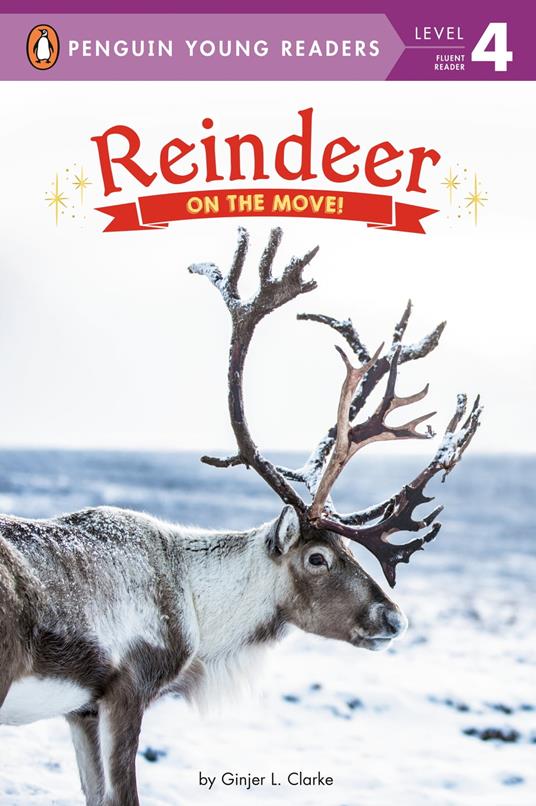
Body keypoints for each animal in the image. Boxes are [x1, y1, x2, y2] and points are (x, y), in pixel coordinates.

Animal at [0, 228, 481, 806]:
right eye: (317, 557)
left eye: (347, 549)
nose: (395, 619)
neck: (195, 605)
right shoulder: (126, 692)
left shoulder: (82, 710)